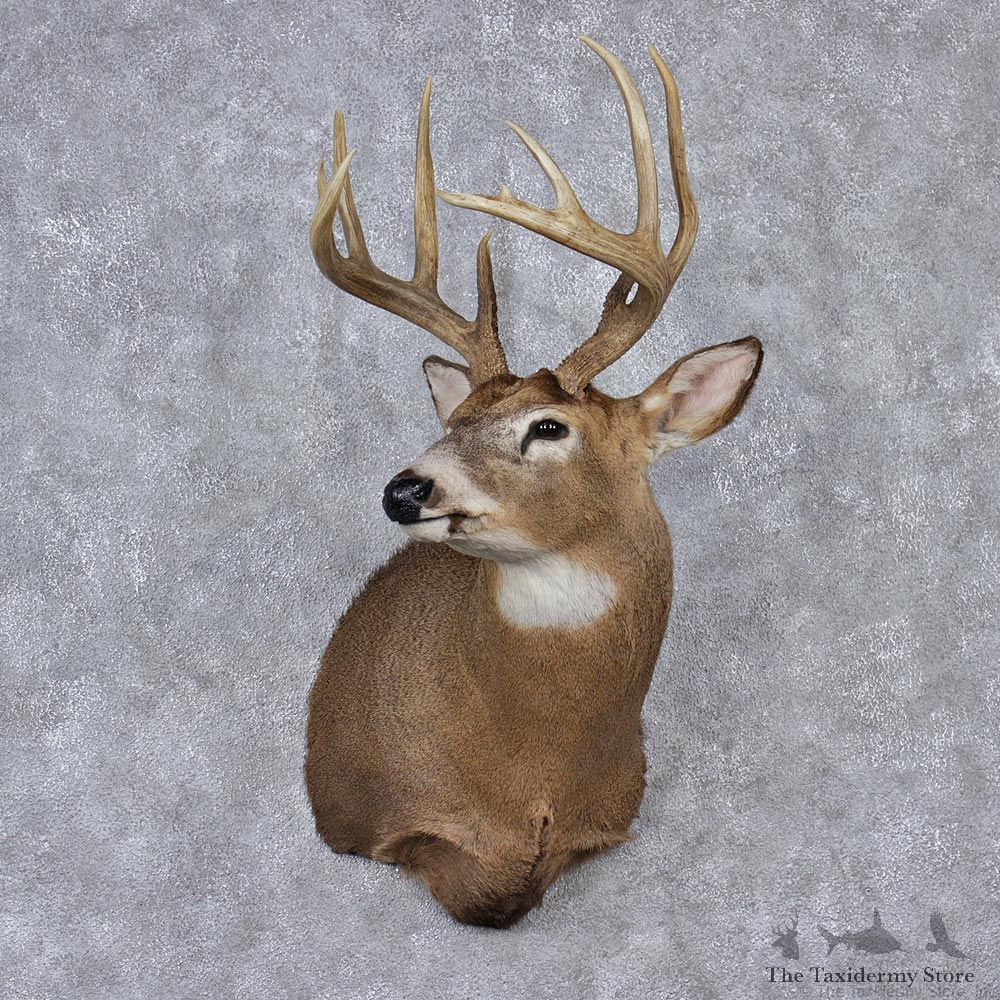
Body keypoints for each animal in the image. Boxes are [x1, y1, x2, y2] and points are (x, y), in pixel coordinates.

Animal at [304, 37, 763, 928]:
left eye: (549, 427)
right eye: (454, 420)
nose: (404, 489)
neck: (537, 769)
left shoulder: (612, 815)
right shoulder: (389, 820)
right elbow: (482, 883)